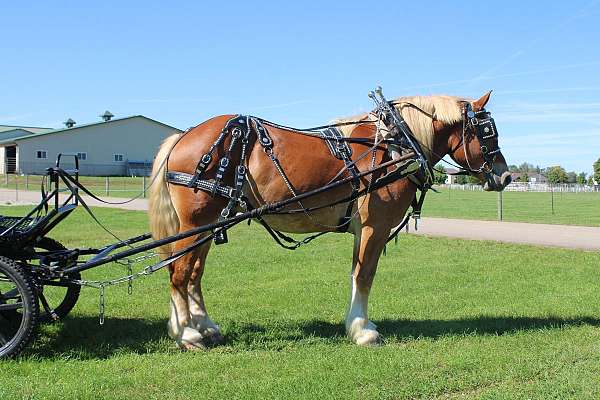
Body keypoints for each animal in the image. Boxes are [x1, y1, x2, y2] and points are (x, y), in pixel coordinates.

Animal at [149, 91, 510, 350]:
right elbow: (364, 276)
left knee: (193, 273)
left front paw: (358, 324)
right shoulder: (374, 227)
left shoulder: (362, 230)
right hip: (195, 223)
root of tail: (183, 136)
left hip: (207, 226)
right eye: (487, 132)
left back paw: (204, 326)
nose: (505, 176)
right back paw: (187, 334)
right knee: (179, 274)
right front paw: (362, 330)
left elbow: (355, 274)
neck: (395, 144)